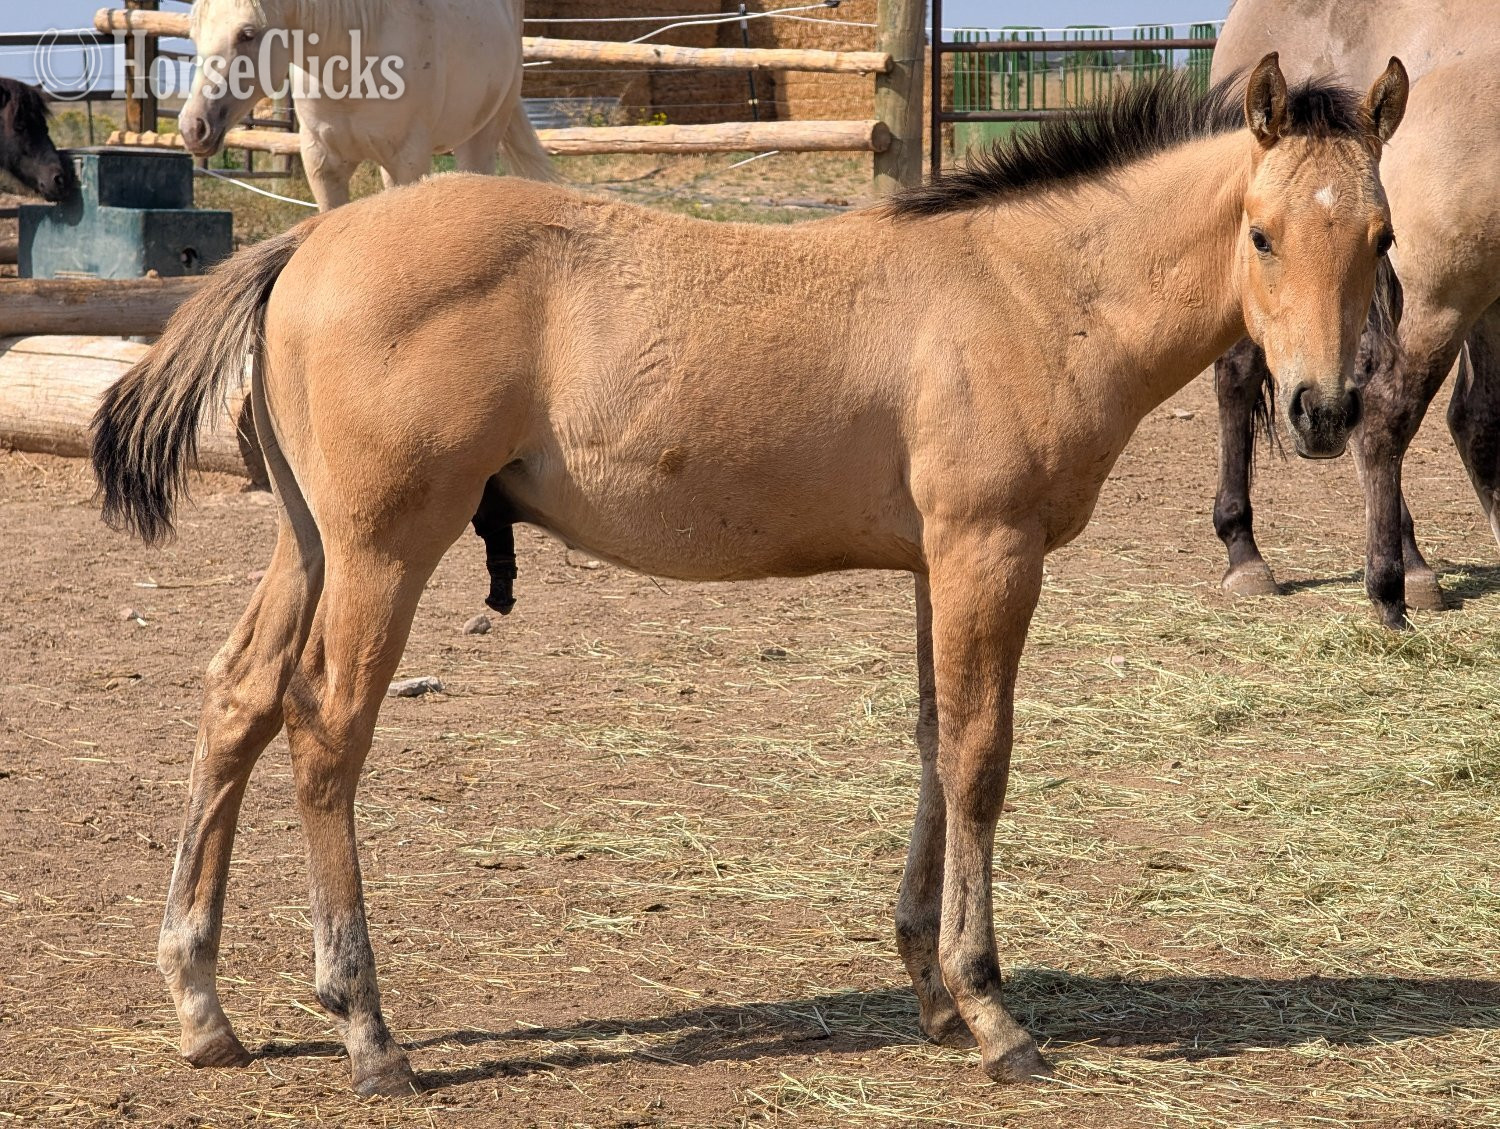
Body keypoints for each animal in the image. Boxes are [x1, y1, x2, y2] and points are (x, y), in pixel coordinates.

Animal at [90, 57, 1405, 1095]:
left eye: (1381, 236)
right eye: (1262, 233)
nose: (1323, 409)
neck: (1027, 289)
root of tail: (309, 237)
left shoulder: (938, 560)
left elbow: (933, 740)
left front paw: (930, 990)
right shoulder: (990, 549)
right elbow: (981, 758)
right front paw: (991, 1010)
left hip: (309, 543)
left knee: (238, 698)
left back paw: (203, 1007)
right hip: (383, 548)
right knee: (325, 729)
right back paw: (367, 1029)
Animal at [177, 0, 554, 210]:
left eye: (248, 33)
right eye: (194, 35)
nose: (193, 127)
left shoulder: (408, 162)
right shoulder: (323, 165)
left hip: (482, 137)